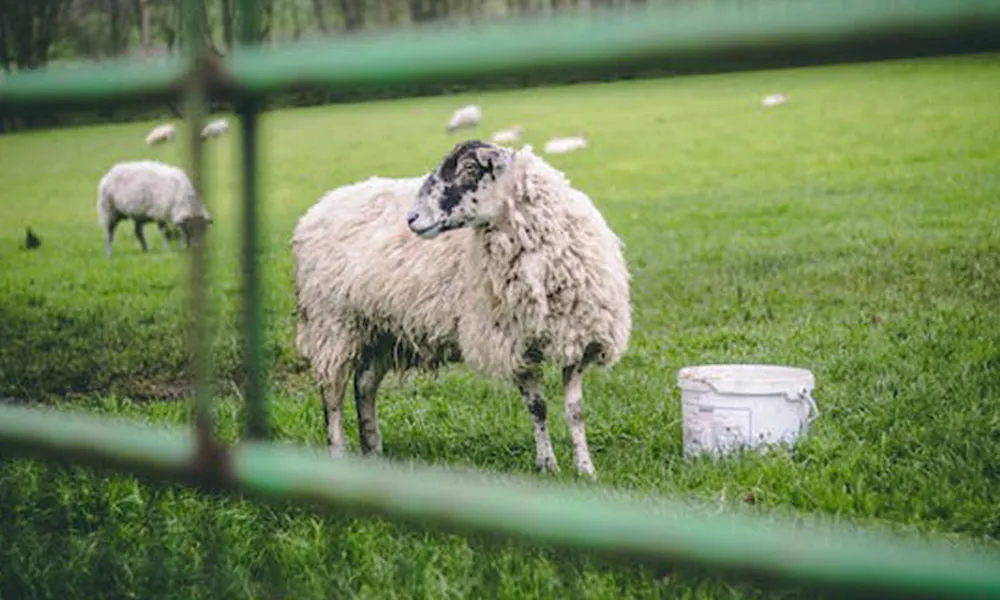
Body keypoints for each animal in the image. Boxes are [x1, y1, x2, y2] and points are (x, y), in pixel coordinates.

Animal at [292, 139, 632, 478]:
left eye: (469, 168)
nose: (412, 218)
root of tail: (318, 208)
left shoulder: (576, 337)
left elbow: (575, 411)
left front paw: (585, 469)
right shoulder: (512, 343)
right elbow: (538, 407)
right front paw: (547, 465)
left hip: (381, 329)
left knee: (364, 383)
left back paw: (373, 450)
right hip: (333, 325)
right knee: (332, 395)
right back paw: (338, 454)